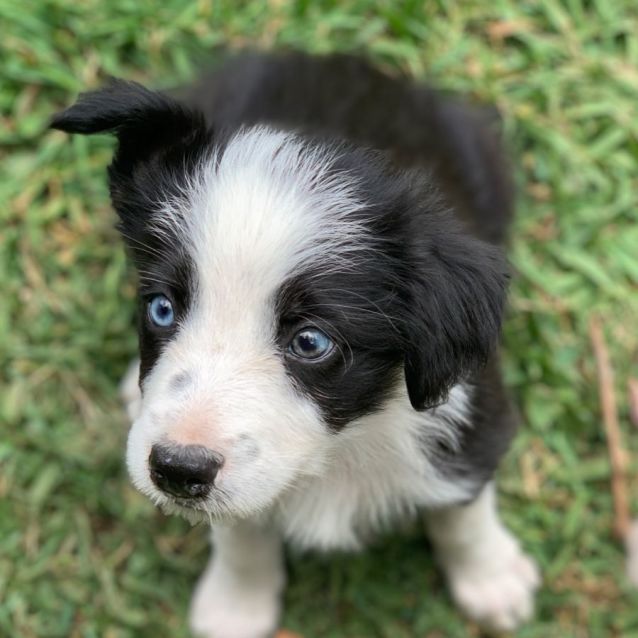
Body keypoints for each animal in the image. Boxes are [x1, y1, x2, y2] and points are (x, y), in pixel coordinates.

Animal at [52, 52, 540, 636]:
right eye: (161, 308)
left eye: (310, 341)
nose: (176, 470)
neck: (338, 448)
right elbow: (239, 532)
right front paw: (237, 606)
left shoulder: (471, 418)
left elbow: (464, 510)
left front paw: (492, 579)